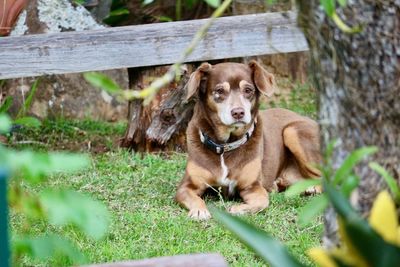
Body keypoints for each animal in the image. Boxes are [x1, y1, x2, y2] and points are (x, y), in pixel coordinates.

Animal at [177, 60, 320, 220]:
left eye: (248, 90)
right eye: (219, 91)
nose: (238, 112)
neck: (226, 145)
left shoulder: (253, 187)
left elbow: (262, 202)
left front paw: (238, 209)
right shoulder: (187, 186)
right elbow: (193, 198)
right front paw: (199, 210)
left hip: (292, 131)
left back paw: (312, 188)